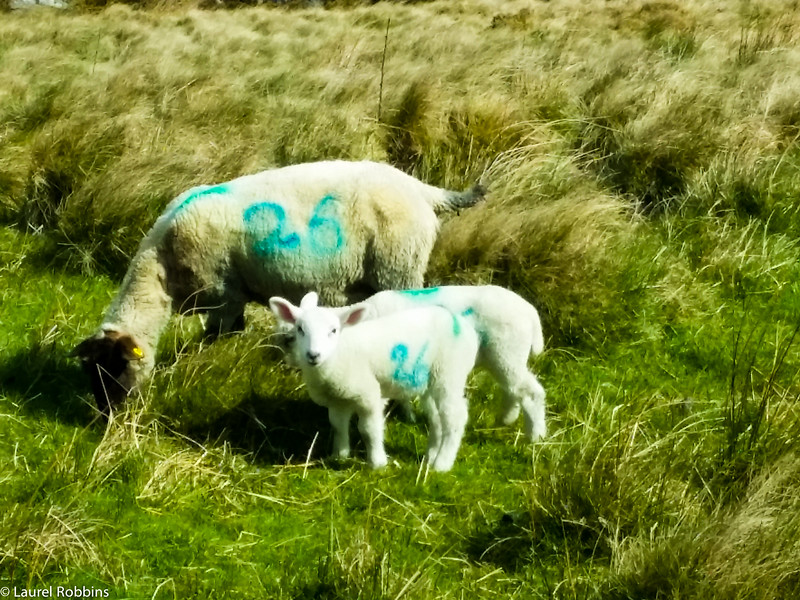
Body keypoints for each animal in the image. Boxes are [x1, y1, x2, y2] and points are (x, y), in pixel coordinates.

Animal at [75, 159, 484, 412]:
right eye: (92, 373)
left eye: (117, 369)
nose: (107, 418)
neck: (161, 269)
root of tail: (424, 190)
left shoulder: (225, 296)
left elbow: (217, 338)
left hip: (399, 267)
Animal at [268, 292, 482, 472]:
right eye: (300, 329)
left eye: (334, 330)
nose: (313, 355)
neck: (339, 354)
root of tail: (462, 325)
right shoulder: (337, 399)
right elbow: (338, 425)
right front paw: (339, 456)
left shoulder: (368, 394)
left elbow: (368, 430)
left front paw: (378, 463)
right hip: (430, 380)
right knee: (437, 418)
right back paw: (430, 456)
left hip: (450, 373)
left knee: (455, 417)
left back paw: (442, 464)